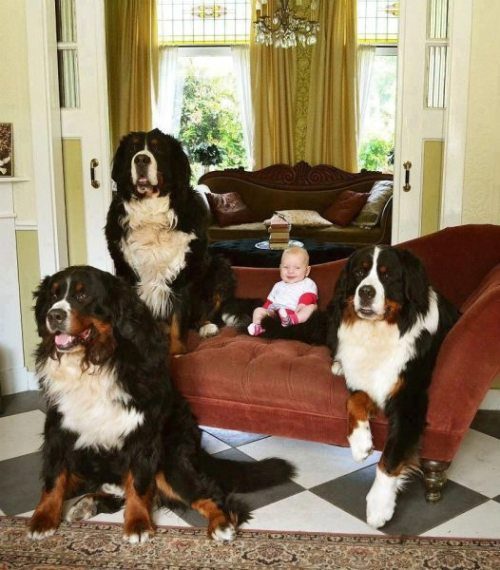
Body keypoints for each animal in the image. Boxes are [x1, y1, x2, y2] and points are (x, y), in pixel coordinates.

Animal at [28, 265, 295, 543]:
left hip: (170, 462)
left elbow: (138, 484)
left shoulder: (142, 434)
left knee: (211, 495)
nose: (53, 315)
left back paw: (221, 523)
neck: (95, 362)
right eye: (53, 295)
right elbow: (53, 479)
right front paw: (43, 518)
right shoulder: (59, 428)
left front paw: (137, 524)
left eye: (82, 296)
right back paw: (89, 502)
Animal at [105, 128, 250, 354]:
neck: (151, 212)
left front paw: (177, 353)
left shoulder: (183, 273)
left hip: (220, 267)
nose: (141, 159)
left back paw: (207, 327)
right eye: (133, 148)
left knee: (206, 313)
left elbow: (178, 322)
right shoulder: (126, 273)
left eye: (158, 148)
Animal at [326, 245, 459, 528]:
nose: (365, 291)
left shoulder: (410, 401)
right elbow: (354, 399)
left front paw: (379, 505)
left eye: (387, 276)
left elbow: (390, 457)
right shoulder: (362, 379)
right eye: (359, 272)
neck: (378, 332)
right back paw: (338, 364)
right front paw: (360, 442)